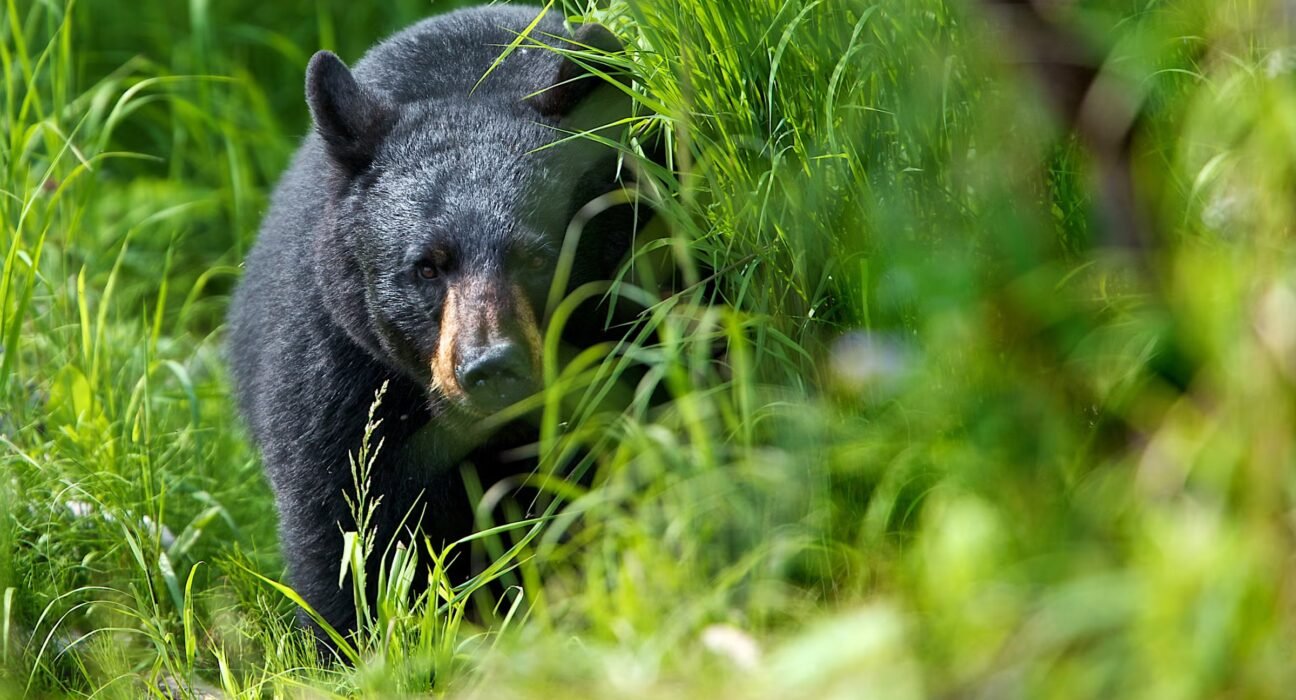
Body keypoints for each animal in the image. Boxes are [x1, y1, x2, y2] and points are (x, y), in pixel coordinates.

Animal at [226, 5, 638, 646]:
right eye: (427, 266)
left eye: (538, 258)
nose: (490, 366)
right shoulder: (343, 371)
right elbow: (341, 524)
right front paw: (349, 643)